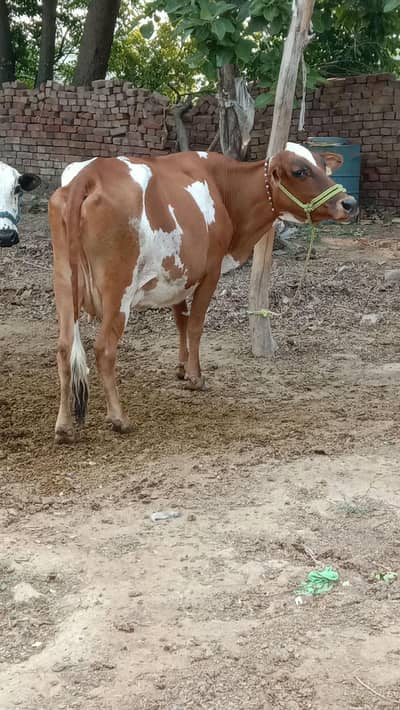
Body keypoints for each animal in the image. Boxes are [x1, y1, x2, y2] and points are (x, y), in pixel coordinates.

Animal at [49, 143, 358, 443]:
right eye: (300, 171)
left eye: (324, 166)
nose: (349, 203)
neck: (225, 189)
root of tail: (90, 175)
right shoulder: (211, 271)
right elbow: (196, 325)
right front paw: (196, 377)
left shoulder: (180, 274)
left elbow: (181, 320)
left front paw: (182, 368)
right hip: (118, 290)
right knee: (104, 349)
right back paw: (118, 418)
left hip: (64, 283)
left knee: (64, 347)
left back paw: (63, 427)